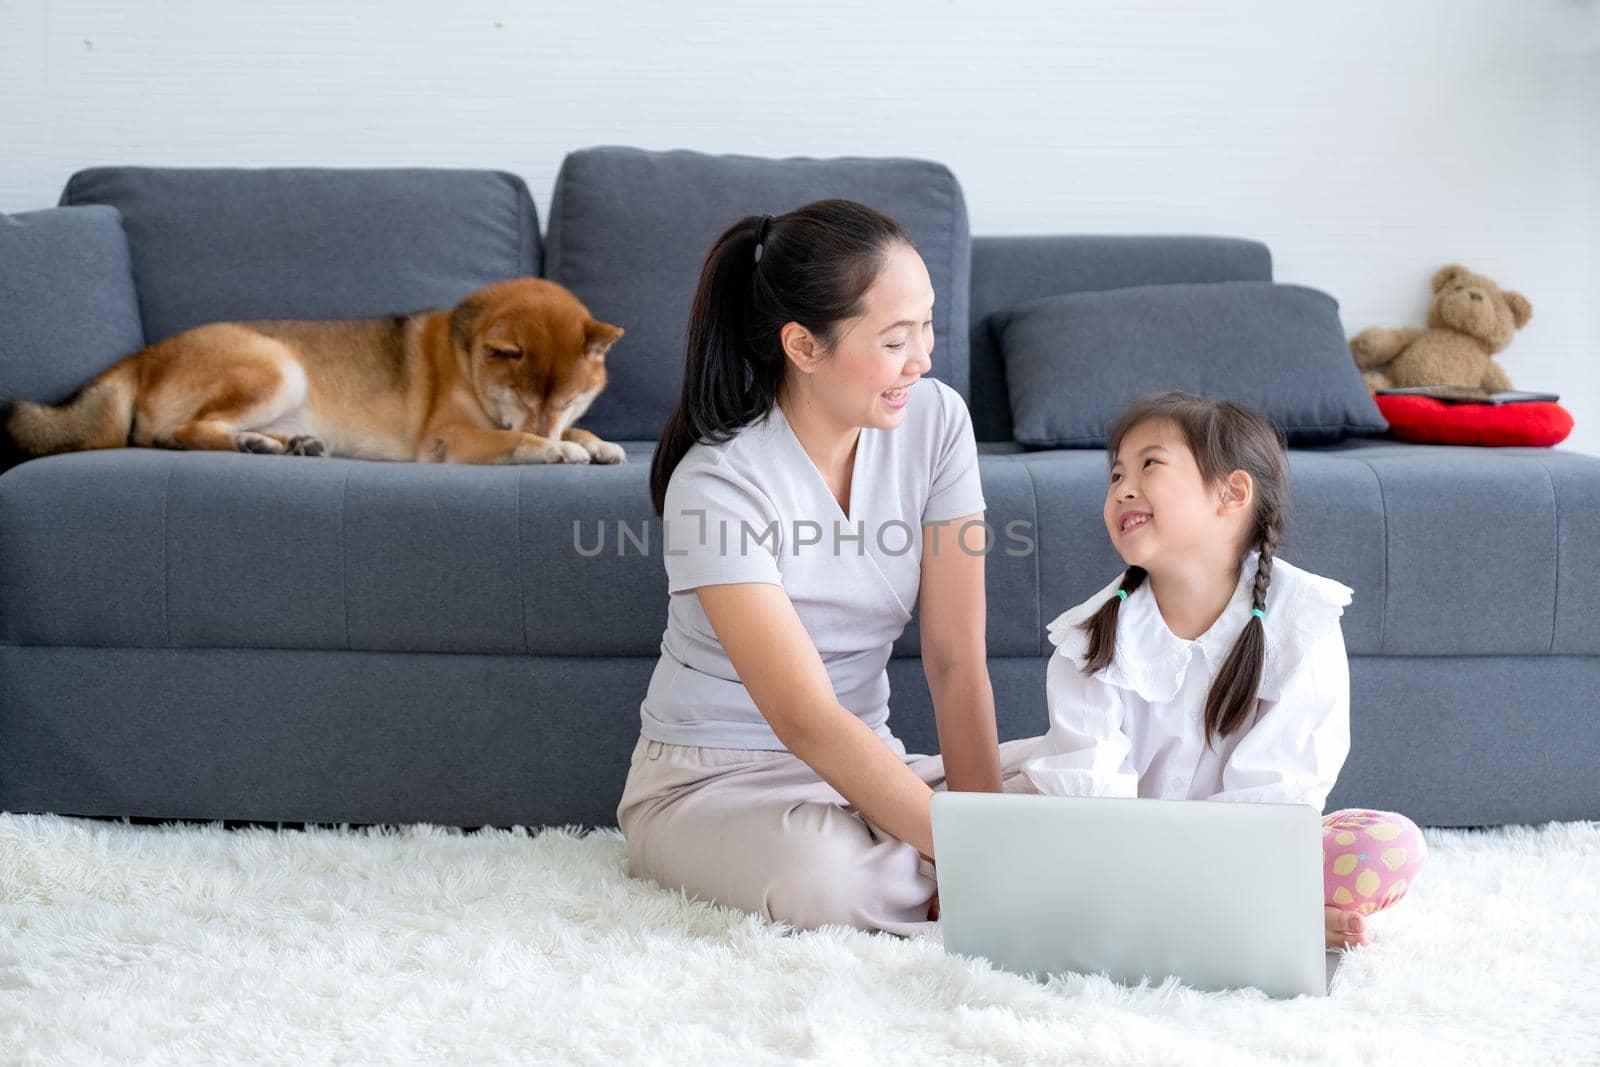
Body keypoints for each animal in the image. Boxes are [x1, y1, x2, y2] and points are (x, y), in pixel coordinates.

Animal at [4, 279, 624, 467]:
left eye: (568, 400)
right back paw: (255, 444)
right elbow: (515, 441)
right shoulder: (449, 438)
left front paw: (594, 440)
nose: (551, 426)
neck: (466, 357)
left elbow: (581, 432)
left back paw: (281, 443)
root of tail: (144, 353)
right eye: (523, 399)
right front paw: (557, 449)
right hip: (279, 369)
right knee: (176, 434)